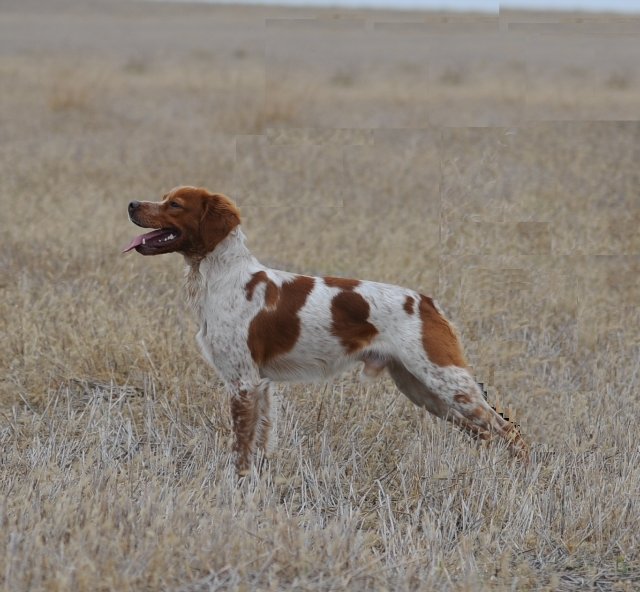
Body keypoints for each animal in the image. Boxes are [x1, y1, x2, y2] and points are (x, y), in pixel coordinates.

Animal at [125, 187, 528, 474]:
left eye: (175, 204)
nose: (131, 204)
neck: (222, 277)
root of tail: (426, 301)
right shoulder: (259, 384)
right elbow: (260, 439)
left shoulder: (243, 382)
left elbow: (240, 445)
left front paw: (236, 483)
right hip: (421, 388)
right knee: (484, 432)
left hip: (446, 382)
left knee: (507, 430)